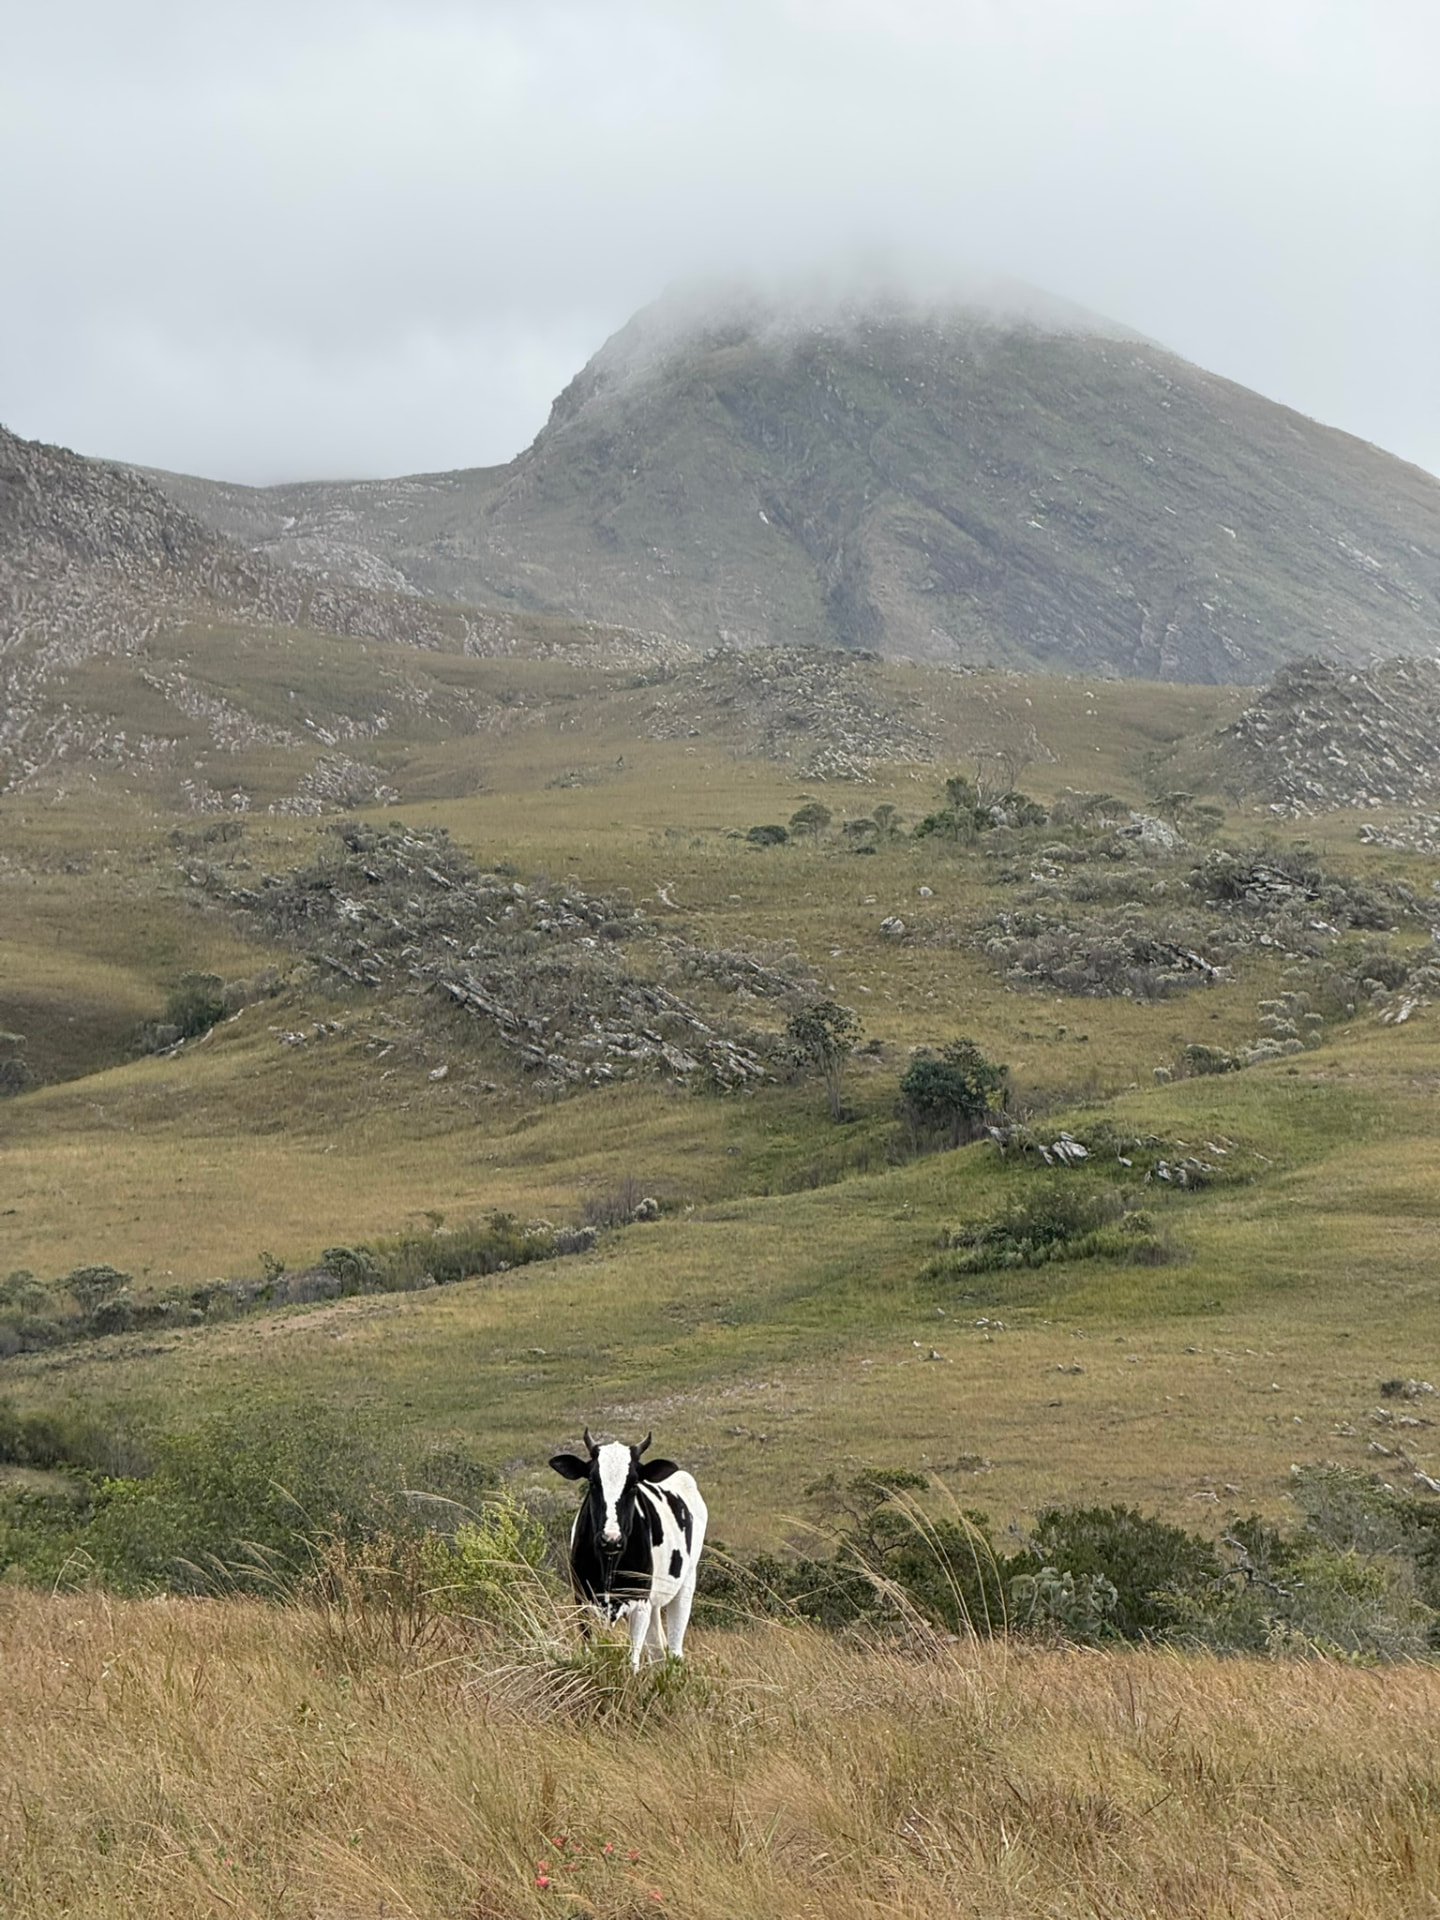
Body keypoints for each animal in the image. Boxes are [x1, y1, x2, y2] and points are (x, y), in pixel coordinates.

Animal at [549, 1429, 708, 1669]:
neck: (608, 1562)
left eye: (633, 1484)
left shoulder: (639, 1602)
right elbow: (589, 1648)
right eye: (592, 1481)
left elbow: (632, 1660)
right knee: (657, 1650)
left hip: (686, 1584)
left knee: (674, 1649)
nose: (611, 1540)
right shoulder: (580, 1597)